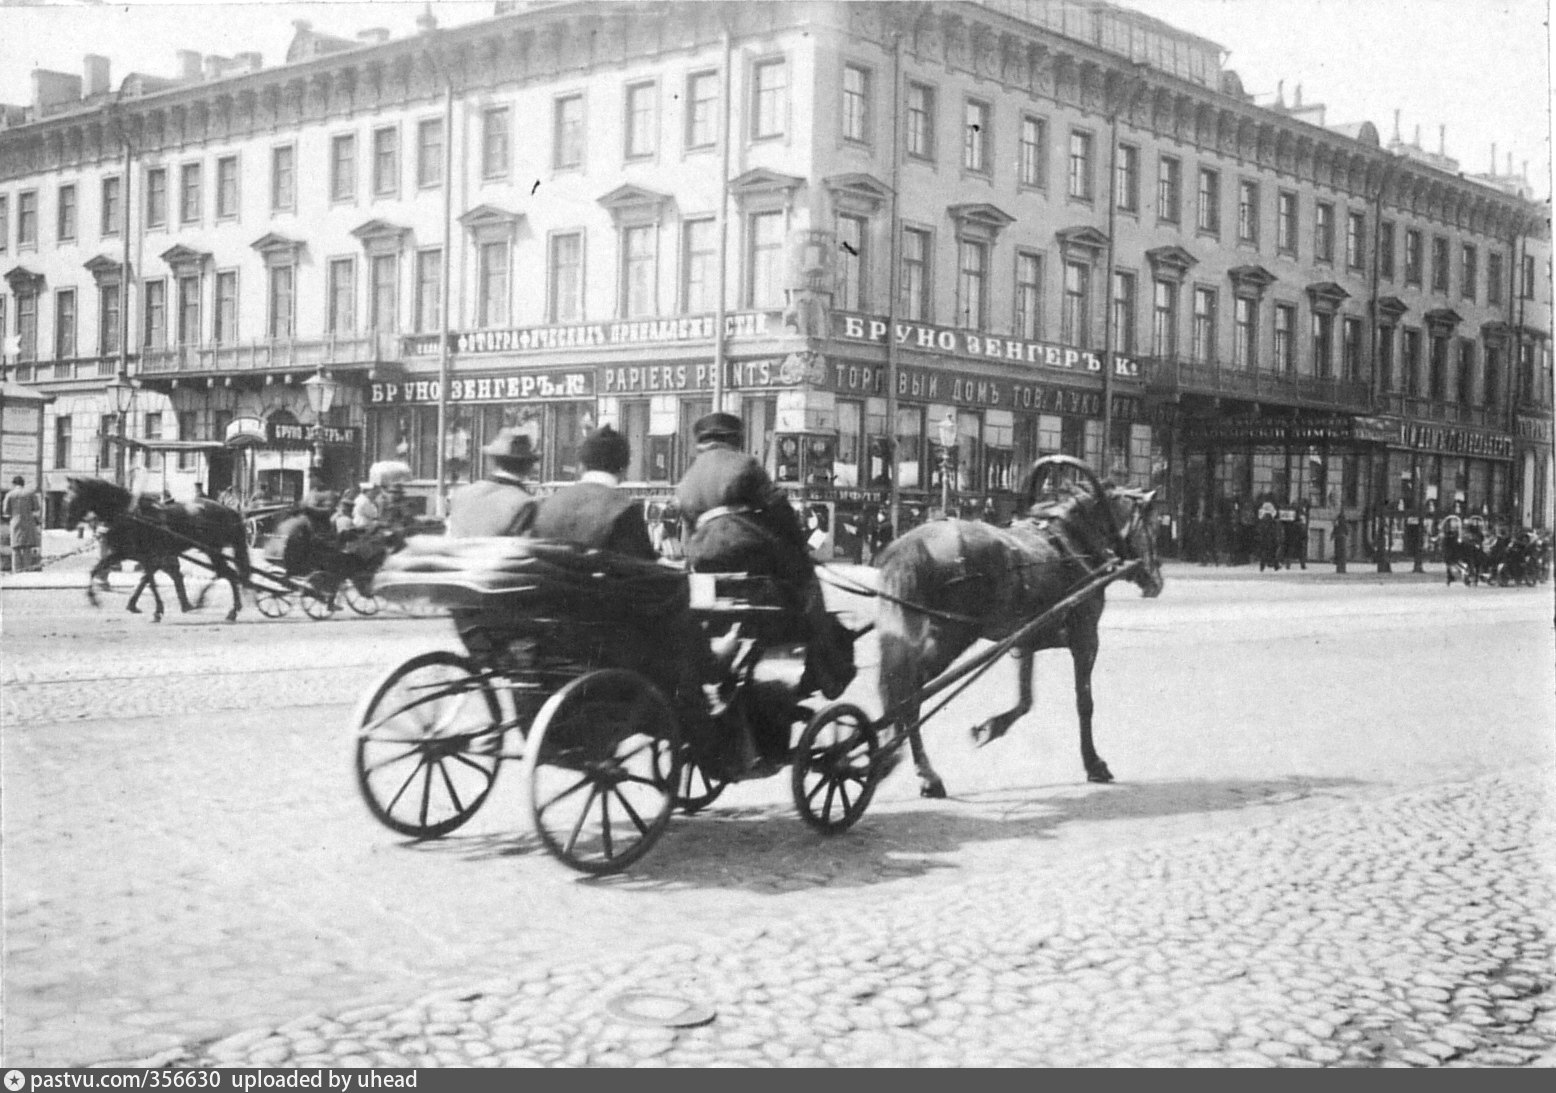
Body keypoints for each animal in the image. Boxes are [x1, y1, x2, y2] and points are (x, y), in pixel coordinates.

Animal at [63, 482, 250, 625]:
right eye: (66, 498)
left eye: (75, 499)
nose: (68, 523)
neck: (130, 515)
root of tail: (229, 510)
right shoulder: (126, 554)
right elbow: (96, 570)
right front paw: (94, 598)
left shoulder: (147, 557)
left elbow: (150, 582)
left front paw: (156, 610)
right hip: (212, 551)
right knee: (226, 573)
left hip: (213, 550)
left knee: (227, 573)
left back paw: (226, 608)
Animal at [871, 454, 1163, 797]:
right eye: (1153, 526)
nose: (1157, 582)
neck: (1072, 541)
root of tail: (912, 545)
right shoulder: (1086, 638)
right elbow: (1084, 702)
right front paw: (1094, 763)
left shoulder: (1025, 640)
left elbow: (1025, 699)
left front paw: (990, 727)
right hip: (950, 638)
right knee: (909, 693)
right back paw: (924, 772)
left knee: (900, 688)